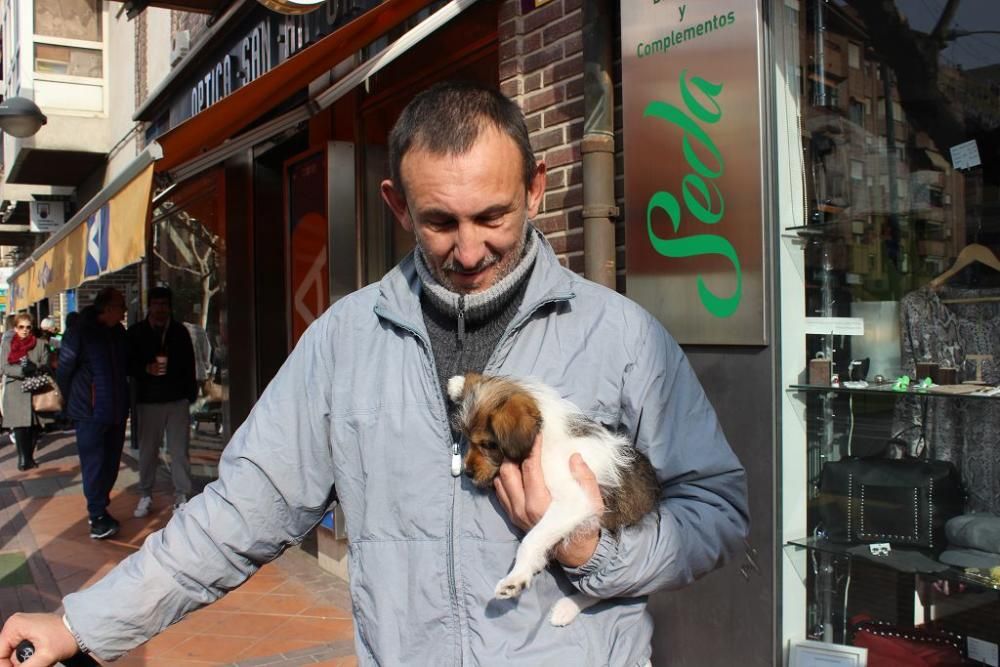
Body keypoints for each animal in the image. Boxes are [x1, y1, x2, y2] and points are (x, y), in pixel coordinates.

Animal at [450, 370, 660, 628]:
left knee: (605, 590)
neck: (545, 441)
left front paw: (516, 578)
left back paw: (567, 607)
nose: (468, 473)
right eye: (467, 438)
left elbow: (531, 540)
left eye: (488, 444)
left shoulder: (574, 501)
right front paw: (459, 383)